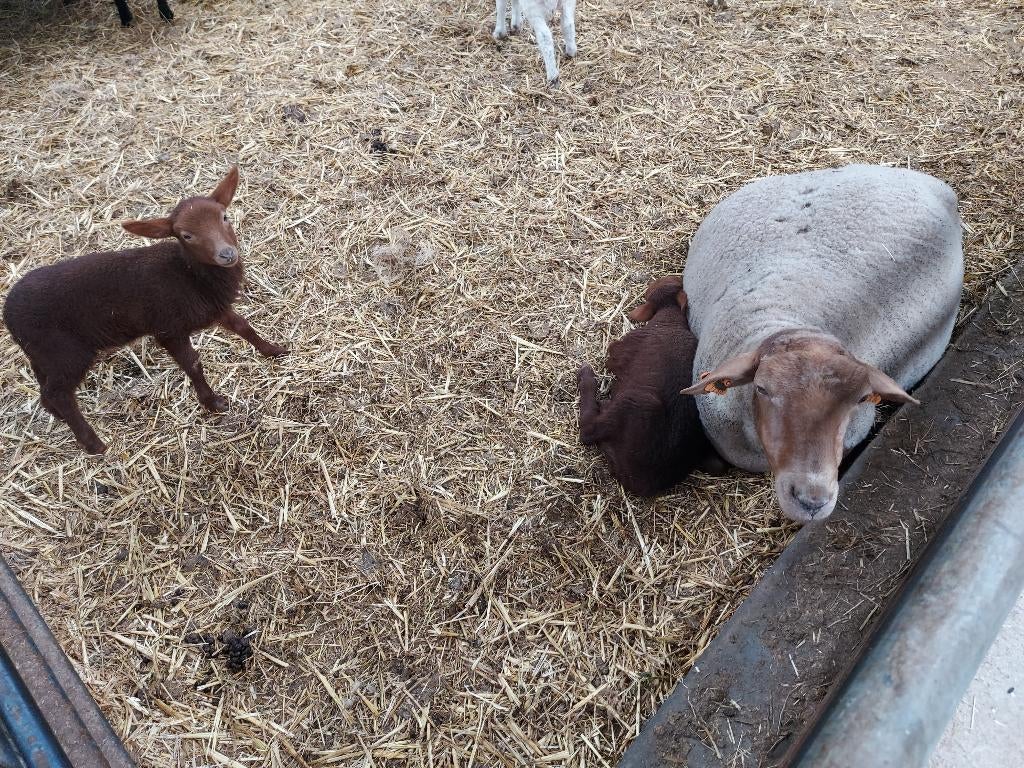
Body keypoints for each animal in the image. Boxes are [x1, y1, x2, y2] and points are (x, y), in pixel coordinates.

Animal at [1, 166, 287, 455]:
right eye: (186, 235)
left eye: (224, 217)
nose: (227, 254)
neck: (190, 275)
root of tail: (8, 314)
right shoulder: (168, 328)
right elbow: (193, 364)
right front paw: (212, 402)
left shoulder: (213, 308)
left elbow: (243, 326)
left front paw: (275, 350)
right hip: (67, 353)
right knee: (58, 394)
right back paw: (94, 444)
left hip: (43, 355)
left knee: (46, 392)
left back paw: (61, 419)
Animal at [578, 275, 713, 497]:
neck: (670, 317)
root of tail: (639, 481)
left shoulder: (619, 350)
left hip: (640, 402)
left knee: (588, 431)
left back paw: (586, 377)